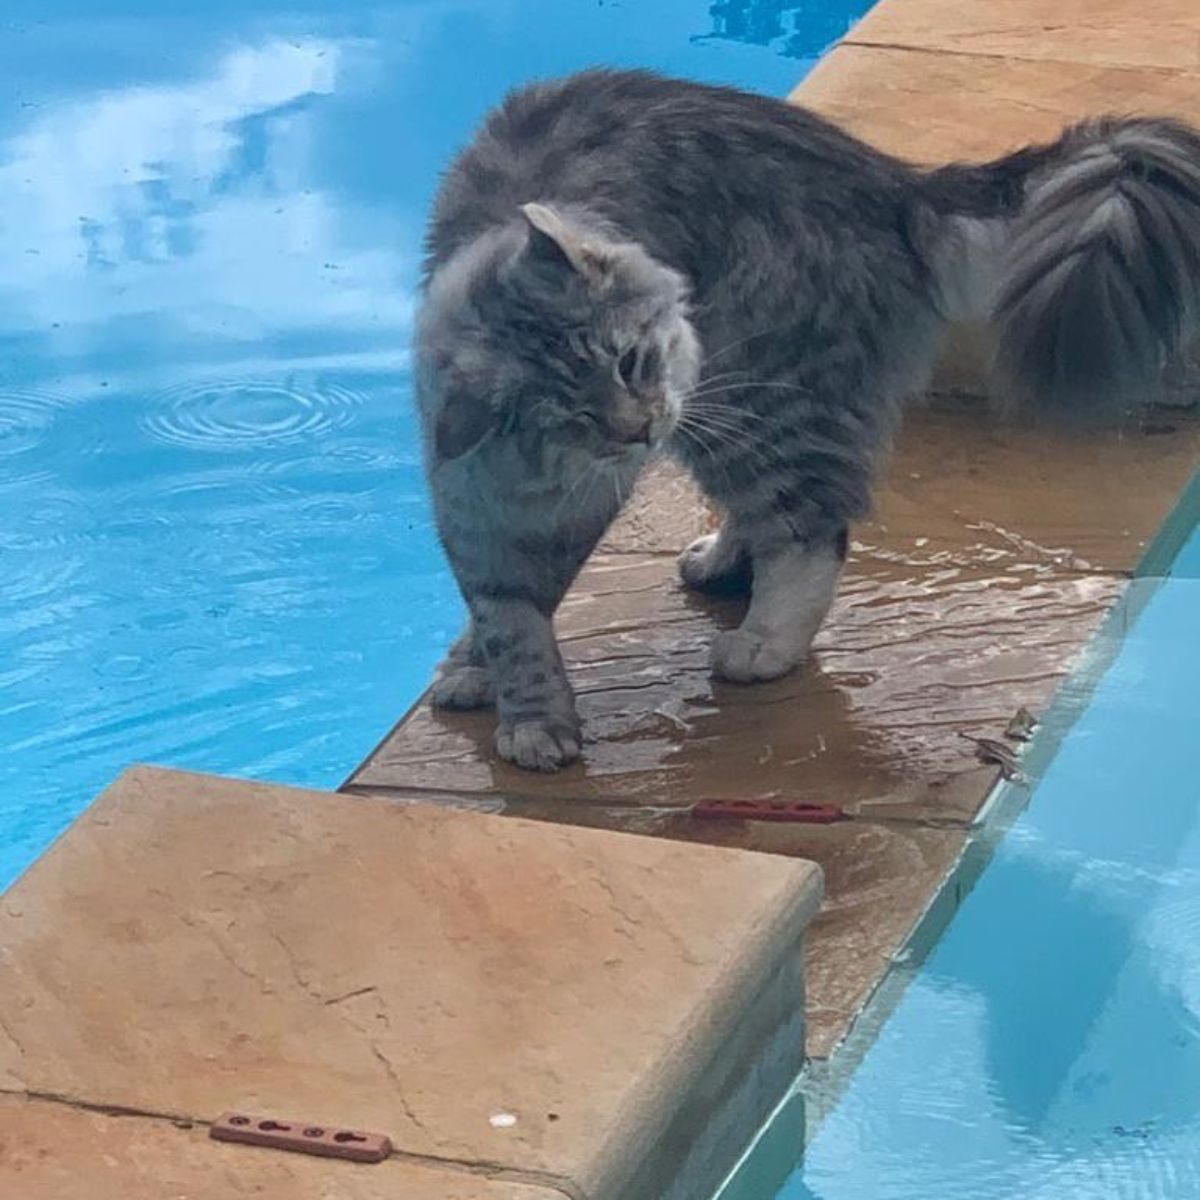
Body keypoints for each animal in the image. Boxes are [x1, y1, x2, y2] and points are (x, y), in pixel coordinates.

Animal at [417, 70, 1200, 772]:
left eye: (630, 362)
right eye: (573, 415)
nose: (641, 427)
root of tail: (896, 186)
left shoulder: (573, 504)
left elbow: (524, 612)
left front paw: (530, 721)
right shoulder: (479, 508)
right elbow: (504, 613)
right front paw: (490, 679)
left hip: (757, 395)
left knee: (810, 532)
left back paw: (764, 644)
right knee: (765, 515)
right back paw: (723, 560)